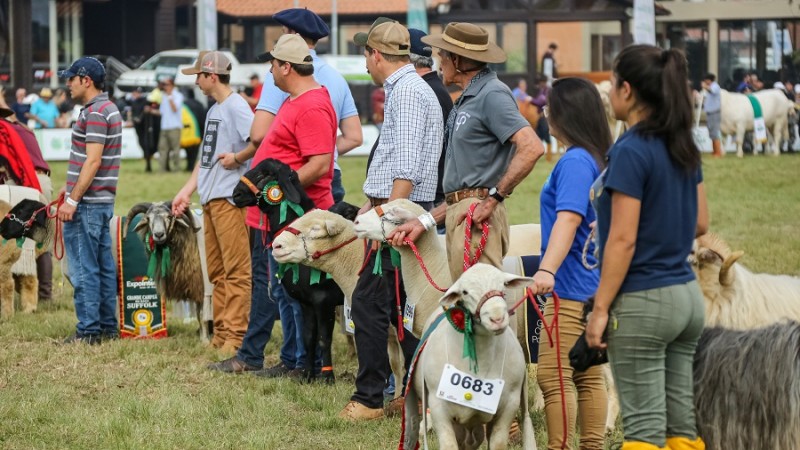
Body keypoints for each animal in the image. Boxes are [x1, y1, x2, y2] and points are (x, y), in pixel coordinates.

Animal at [400, 264, 536, 450]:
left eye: (503, 285)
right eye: (464, 292)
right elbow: (449, 445)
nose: (497, 318)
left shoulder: (509, 404)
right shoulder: (438, 407)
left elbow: (498, 443)